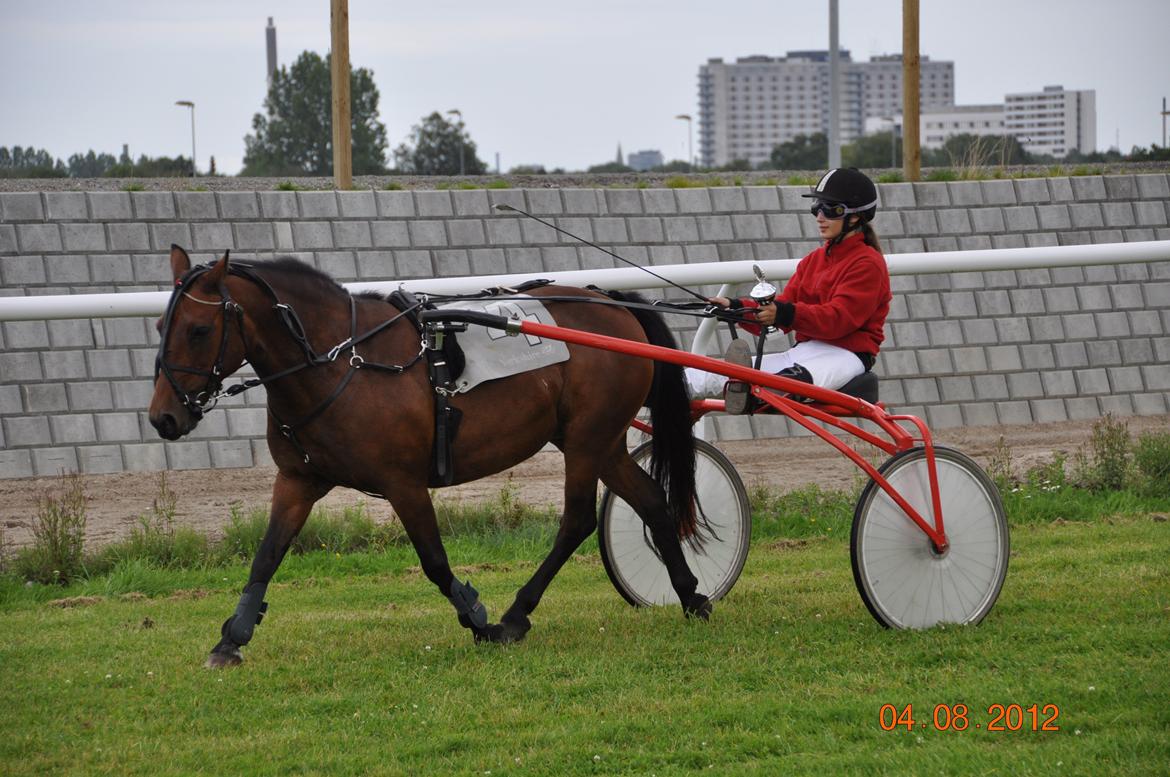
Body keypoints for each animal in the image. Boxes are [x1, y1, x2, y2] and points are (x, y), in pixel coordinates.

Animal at [149, 245, 706, 664]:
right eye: (160, 327)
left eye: (199, 329)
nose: (163, 418)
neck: (343, 362)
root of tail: (613, 303)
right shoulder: (297, 480)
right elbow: (266, 556)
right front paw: (231, 638)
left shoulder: (403, 483)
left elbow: (435, 562)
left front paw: (479, 620)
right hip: (597, 441)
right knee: (652, 501)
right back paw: (692, 596)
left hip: (588, 439)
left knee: (577, 521)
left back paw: (516, 615)